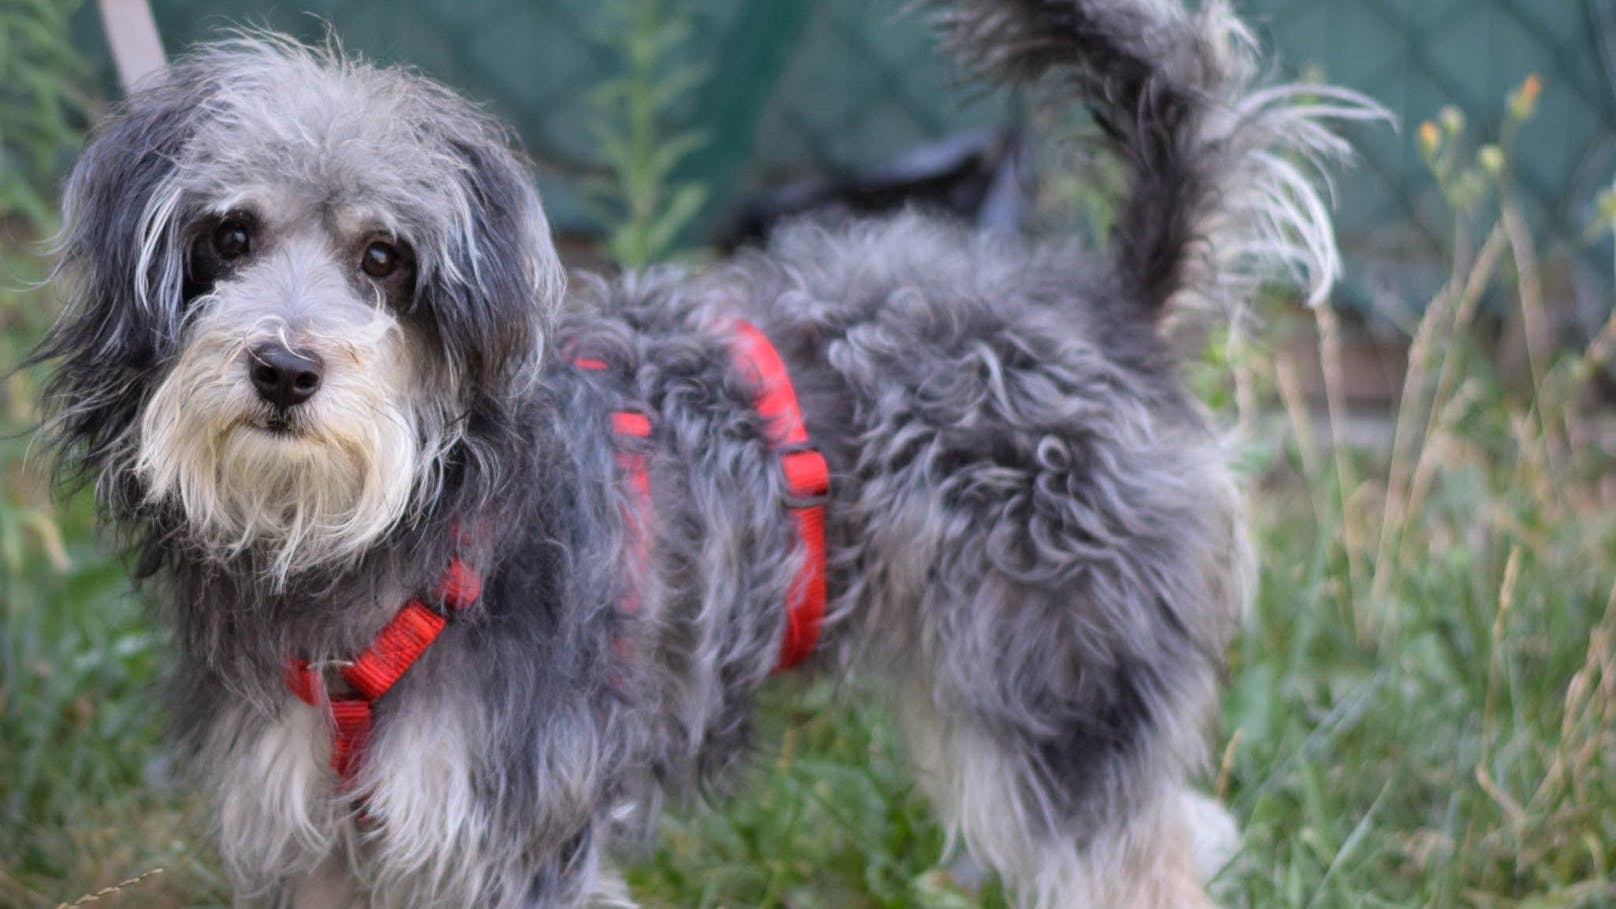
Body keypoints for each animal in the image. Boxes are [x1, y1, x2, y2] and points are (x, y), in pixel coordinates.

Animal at [37, 1, 1370, 905]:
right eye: (228, 235)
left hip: (1060, 702)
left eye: (384, 258)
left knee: (1138, 857)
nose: (282, 370)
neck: (377, 540)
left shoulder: (512, 839)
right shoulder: (317, 839)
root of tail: (1105, 308)